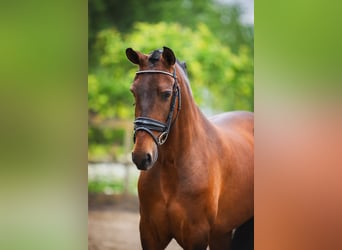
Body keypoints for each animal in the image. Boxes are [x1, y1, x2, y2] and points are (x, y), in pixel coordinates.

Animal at [125, 47, 254, 250]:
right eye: (134, 92)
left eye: (166, 93)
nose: (141, 156)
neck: (172, 164)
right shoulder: (149, 234)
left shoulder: (196, 236)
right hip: (221, 233)